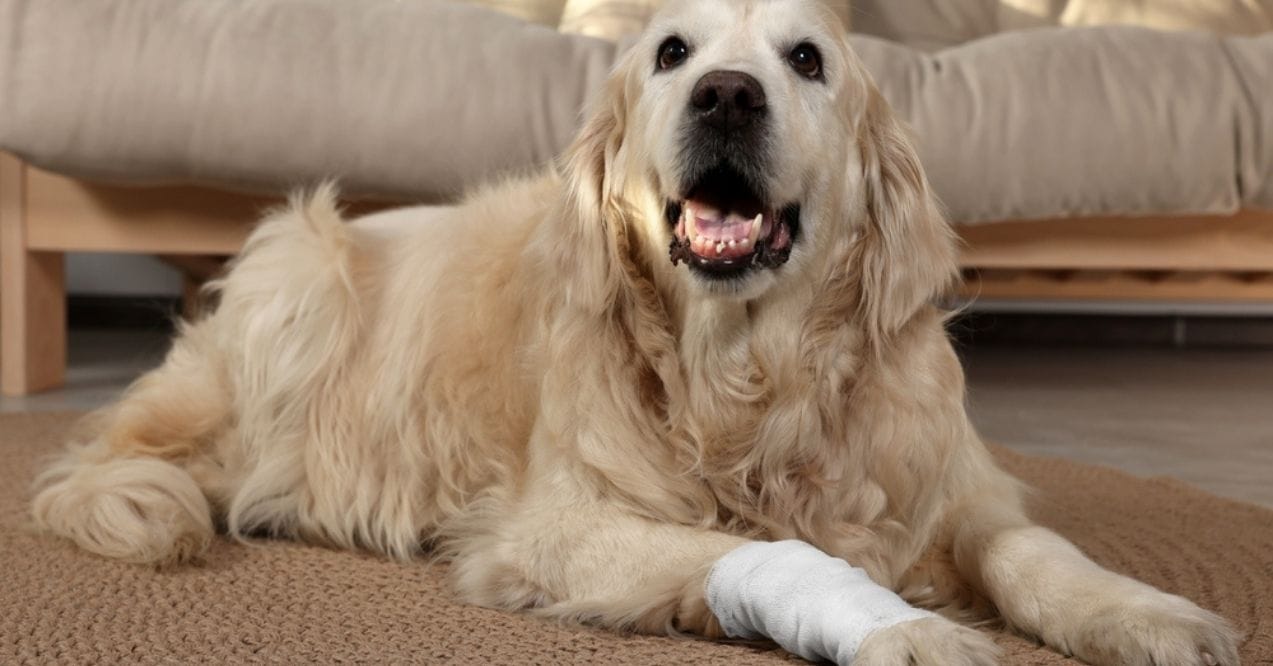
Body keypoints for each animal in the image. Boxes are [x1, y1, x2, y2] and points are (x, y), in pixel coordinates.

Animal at [32, 2, 1242, 662]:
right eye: (670, 52)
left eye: (807, 60)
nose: (726, 95)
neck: (749, 384)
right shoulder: (557, 527)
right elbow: (771, 552)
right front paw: (900, 625)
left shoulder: (955, 485)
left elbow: (1035, 551)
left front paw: (1143, 612)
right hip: (299, 266)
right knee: (129, 460)